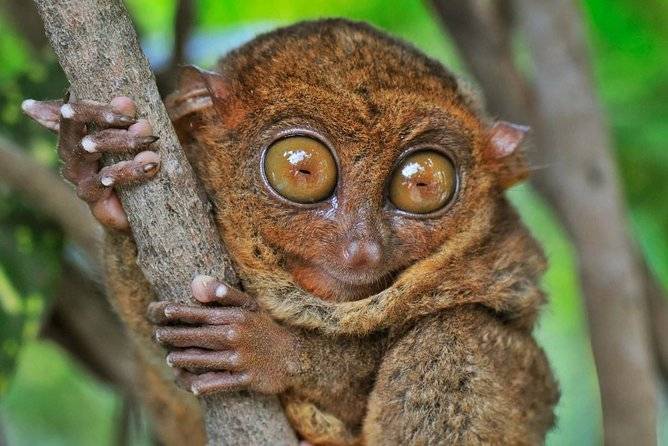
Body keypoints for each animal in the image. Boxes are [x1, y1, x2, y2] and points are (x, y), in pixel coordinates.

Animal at [24, 19, 559, 445]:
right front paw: (100, 174)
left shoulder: (506, 268)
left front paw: (269, 350)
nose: (361, 248)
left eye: (422, 182)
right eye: (301, 170)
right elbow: (157, 358)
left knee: (455, 332)